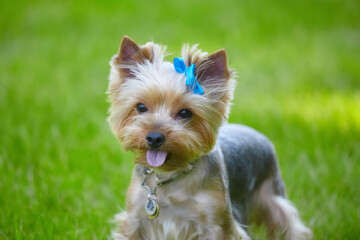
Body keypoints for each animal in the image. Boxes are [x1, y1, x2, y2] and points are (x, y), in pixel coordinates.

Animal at [107, 36, 312, 240]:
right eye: (141, 107)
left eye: (185, 113)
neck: (167, 176)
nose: (155, 137)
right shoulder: (135, 220)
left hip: (272, 194)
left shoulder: (217, 225)